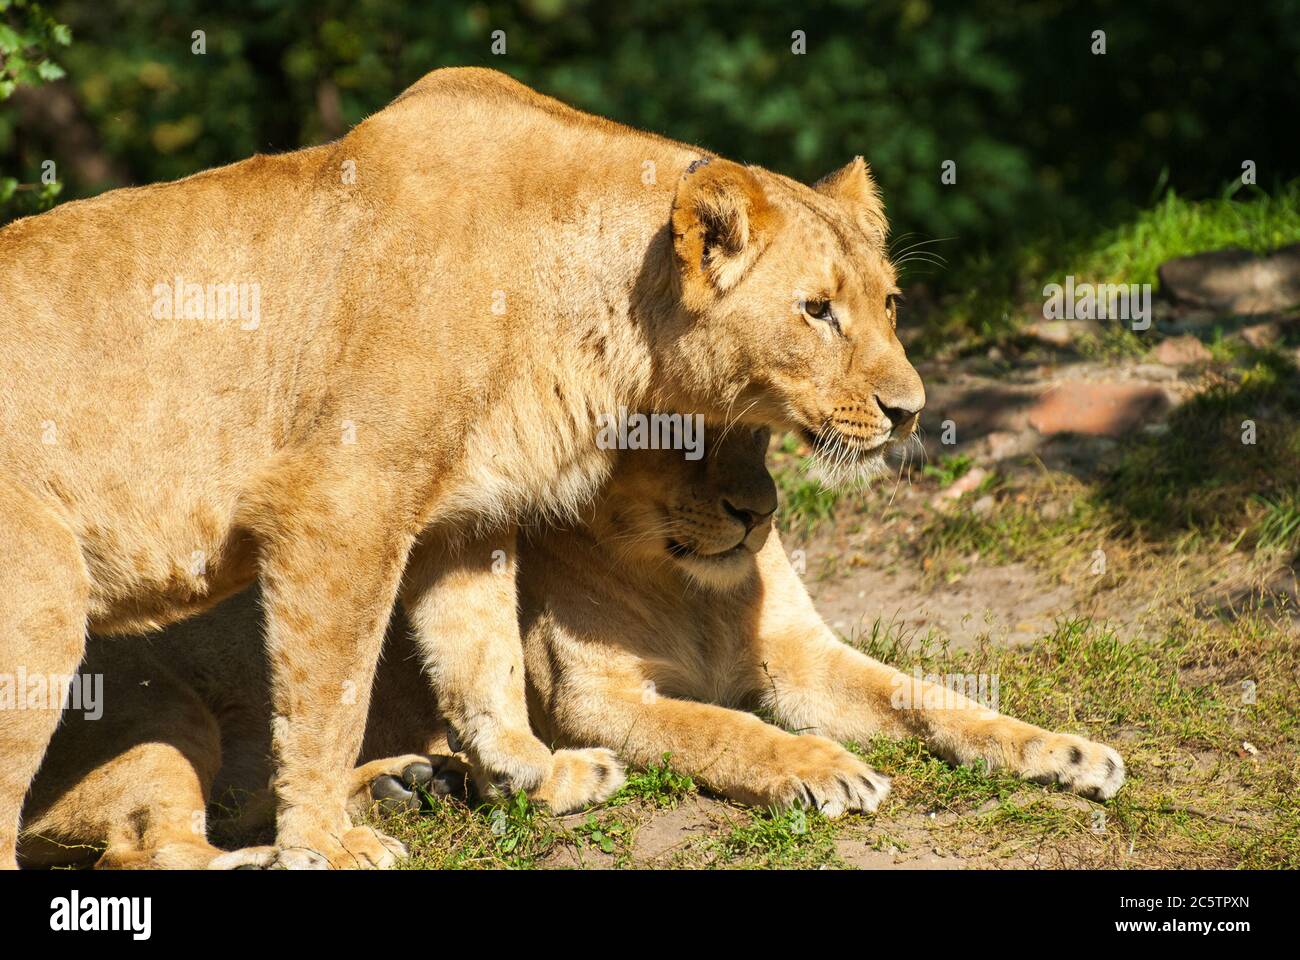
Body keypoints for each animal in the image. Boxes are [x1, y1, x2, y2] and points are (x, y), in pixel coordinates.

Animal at [0, 66, 924, 869]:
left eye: (889, 302)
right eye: (816, 309)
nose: (911, 410)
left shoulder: (465, 516)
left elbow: (483, 661)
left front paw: (532, 775)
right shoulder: (337, 507)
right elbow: (329, 700)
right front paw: (326, 844)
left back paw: (411, 782)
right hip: (50, 608)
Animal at [19, 429, 1122, 868]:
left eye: (760, 432)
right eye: (681, 436)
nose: (760, 510)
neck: (690, 586)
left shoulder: (802, 656)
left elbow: (935, 699)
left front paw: (1065, 753)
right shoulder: (597, 700)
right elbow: (726, 730)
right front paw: (822, 770)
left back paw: (417, 787)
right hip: (163, 715)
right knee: (153, 847)